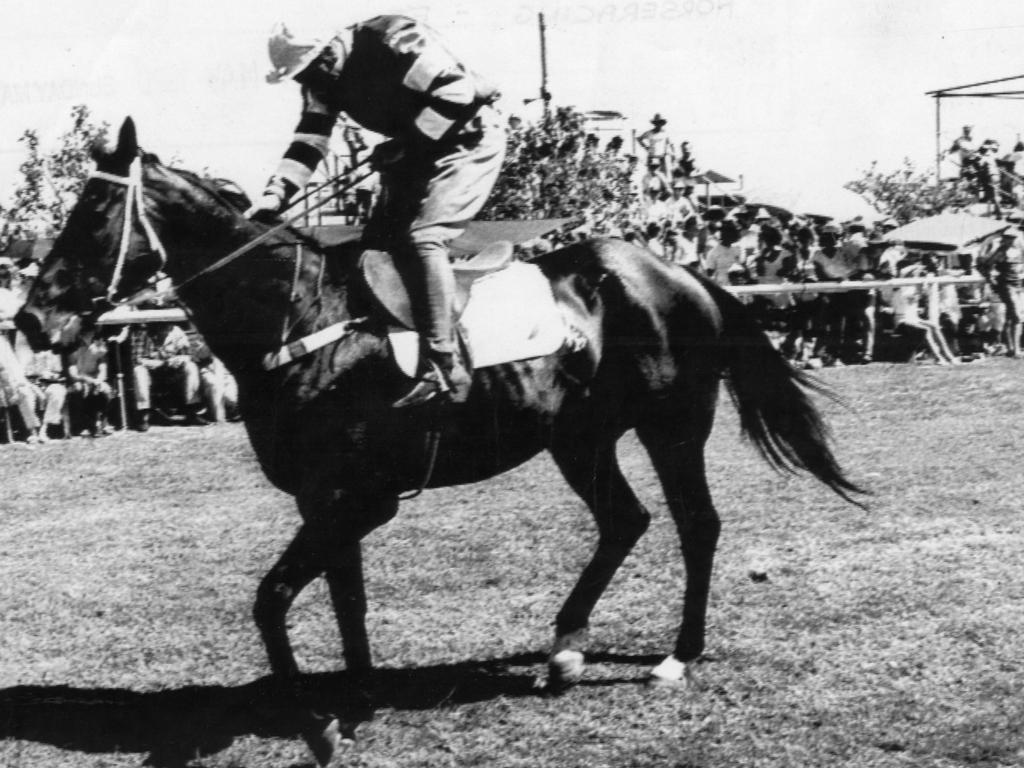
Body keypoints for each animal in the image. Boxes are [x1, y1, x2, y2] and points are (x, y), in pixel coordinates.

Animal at [19, 118, 860, 765]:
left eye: (94, 215)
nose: (31, 320)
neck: (303, 320)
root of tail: (678, 275)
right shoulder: (330, 504)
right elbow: (346, 601)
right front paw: (355, 702)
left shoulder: (355, 500)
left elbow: (274, 599)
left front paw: (315, 723)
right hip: (580, 440)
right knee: (626, 521)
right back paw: (564, 648)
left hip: (671, 430)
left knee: (696, 524)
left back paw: (677, 656)